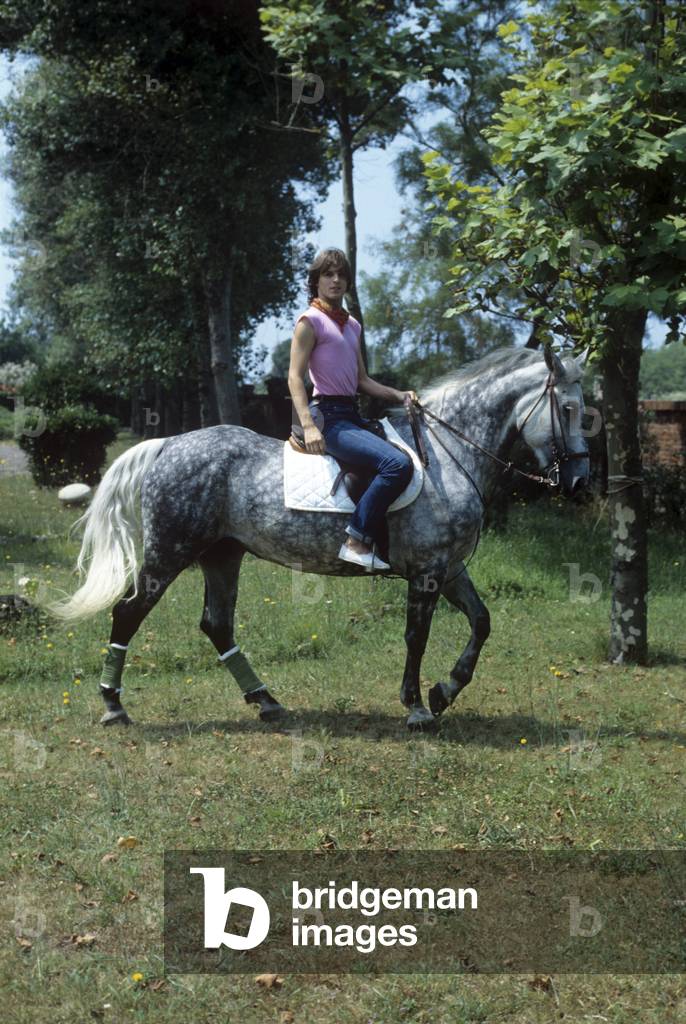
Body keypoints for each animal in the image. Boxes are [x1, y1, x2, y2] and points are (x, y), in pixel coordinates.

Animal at [49, 344, 590, 730]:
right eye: (568, 408)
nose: (581, 483)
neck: (444, 453)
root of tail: (167, 445)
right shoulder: (428, 572)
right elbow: (416, 637)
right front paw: (417, 707)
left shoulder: (450, 568)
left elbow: (481, 622)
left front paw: (444, 691)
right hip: (170, 552)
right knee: (128, 613)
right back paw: (114, 706)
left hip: (222, 555)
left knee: (217, 625)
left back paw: (267, 702)